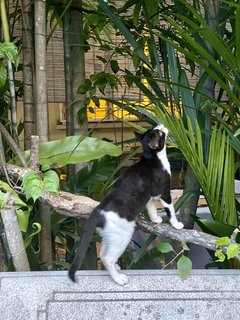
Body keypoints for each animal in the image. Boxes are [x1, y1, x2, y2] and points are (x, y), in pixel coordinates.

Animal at [68, 124, 185, 284]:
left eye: (156, 128)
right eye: (160, 132)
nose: (162, 124)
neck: (152, 158)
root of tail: (98, 211)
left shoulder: (149, 195)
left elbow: (151, 207)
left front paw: (155, 219)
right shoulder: (165, 192)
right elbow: (171, 210)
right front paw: (176, 224)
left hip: (109, 235)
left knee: (103, 253)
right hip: (122, 235)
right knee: (108, 258)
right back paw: (119, 279)